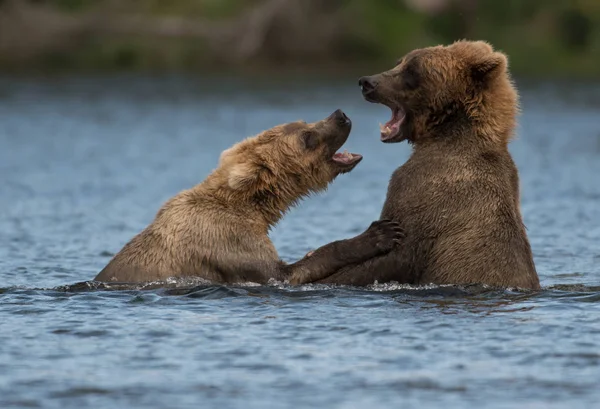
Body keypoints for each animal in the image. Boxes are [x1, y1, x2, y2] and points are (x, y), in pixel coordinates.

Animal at [95, 110, 404, 286]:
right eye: (307, 137)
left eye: (303, 121)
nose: (340, 115)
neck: (252, 206)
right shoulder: (227, 240)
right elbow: (285, 272)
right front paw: (381, 232)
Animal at [322, 40, 540, 290]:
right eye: (400, 62)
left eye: (412, 71)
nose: (367, 82)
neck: (446, 132)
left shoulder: (426, 194)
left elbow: (395, 253)